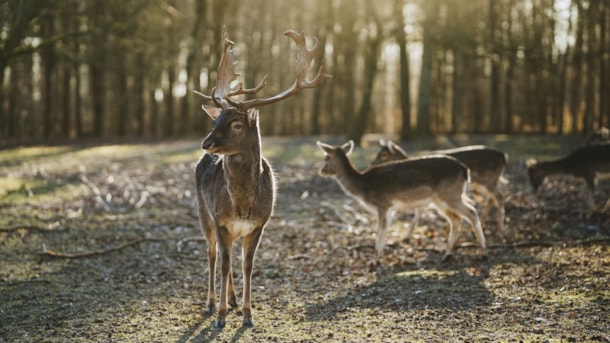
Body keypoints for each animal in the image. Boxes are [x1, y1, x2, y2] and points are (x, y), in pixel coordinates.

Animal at [194, 30, 328, 330]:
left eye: (236, 124)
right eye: (215, 121)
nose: (206, 143)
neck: (243, 205)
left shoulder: (259, 224)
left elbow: (247, 266)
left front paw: (247, 314)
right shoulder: (221, 220)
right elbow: (224, 265)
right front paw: (220, 316)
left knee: (229, 257)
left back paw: (232, 300)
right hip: (203, 213)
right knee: (212, 254)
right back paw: (211, 303)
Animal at [318, 140, 484, 264]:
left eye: (326, 157)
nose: (321, 171)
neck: (363, 186)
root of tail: (465, 170)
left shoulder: (383, 203)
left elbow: (379, 229)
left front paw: (375, 260)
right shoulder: (389, 208)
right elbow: (384, 229)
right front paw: (380, 255)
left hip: (450, 195)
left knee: (471, 212)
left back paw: (483, 252)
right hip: (441, 200)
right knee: (456, 218)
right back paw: (447, 255)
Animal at [372, 138, 506, 235]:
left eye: (383, 154)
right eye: (378, 153)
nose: (372, 164)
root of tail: (504, 156)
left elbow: (418, 212)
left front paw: (407, 236)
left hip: (489, 181)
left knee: (499, 197)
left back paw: (500, 230)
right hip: (483, 184)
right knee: (492, 199)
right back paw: (481, 224)